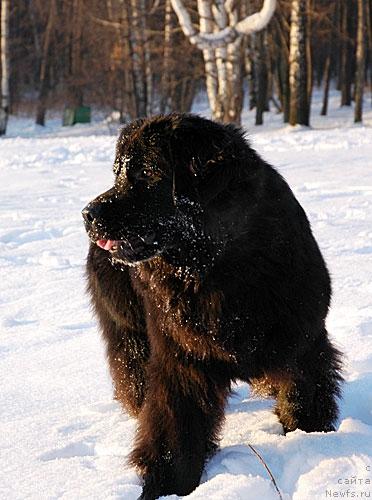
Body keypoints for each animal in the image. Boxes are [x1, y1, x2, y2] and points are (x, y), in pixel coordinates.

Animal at [82, 114, 342, 500]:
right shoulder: (181, 360)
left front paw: (312, 441)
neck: (220, 270)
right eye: (119, 173)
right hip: (128, 329)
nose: (87, 213)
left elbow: (302, 397)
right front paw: (168, 486)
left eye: (145, 173)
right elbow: (175, 430)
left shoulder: (303, 341)